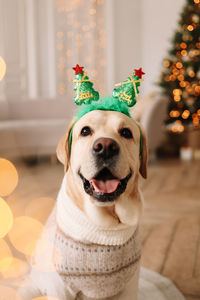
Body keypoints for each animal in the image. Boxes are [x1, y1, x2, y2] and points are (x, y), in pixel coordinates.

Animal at [18, 108, 147, 300]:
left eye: (126, 132)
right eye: (85, 131)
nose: (105, 147)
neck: (104, 228)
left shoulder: (130, 285)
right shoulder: (60, 289)